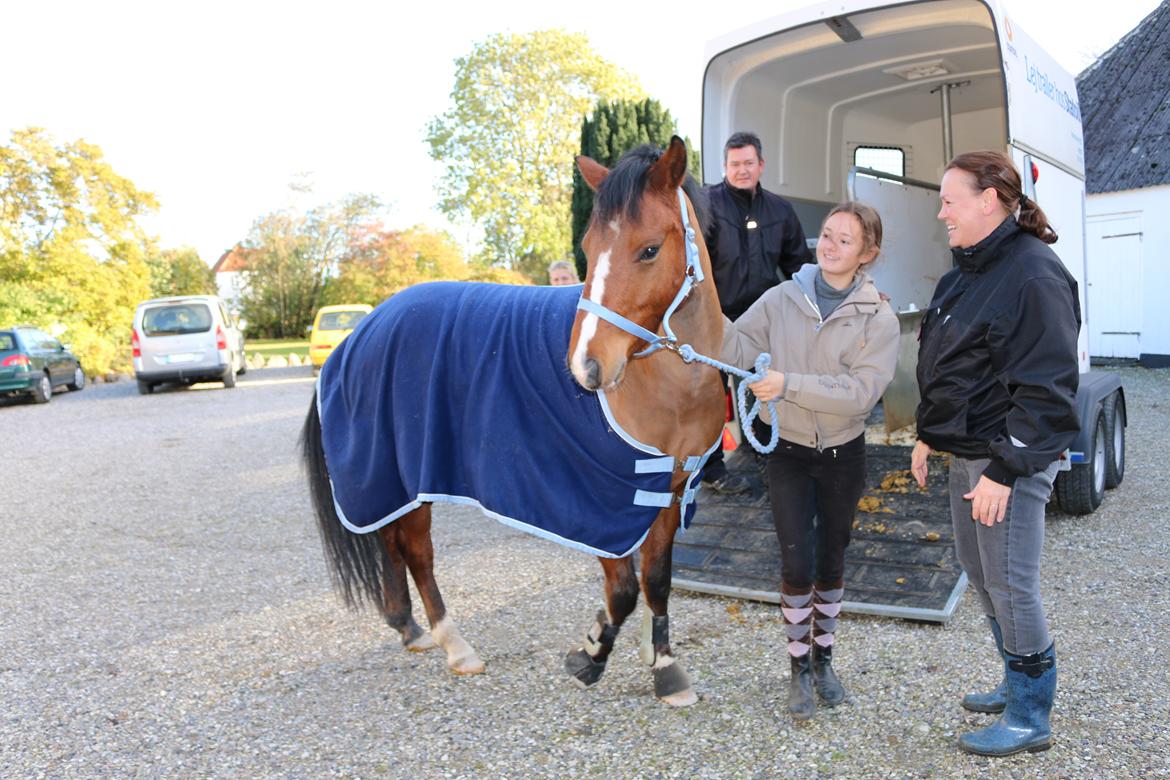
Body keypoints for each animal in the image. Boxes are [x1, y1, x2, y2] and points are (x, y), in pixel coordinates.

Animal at [304, 137, 730, 706]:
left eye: (649, 250)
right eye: (589, 246)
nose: (587, 368)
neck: (665, 378)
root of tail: (358, 332)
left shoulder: (667, 490)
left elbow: (657, 581)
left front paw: (663, 666)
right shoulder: (603, 504)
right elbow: (621, 591)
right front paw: (591, 652)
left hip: (391, 481)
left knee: (389, 542)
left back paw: (408, 627)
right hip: (407, 480)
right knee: (416, 553)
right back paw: (454, 644)